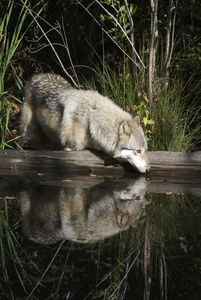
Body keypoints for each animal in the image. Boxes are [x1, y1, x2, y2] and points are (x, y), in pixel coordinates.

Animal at [20, 72, 151, 173]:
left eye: (145, 150)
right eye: (138, 151)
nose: (149, 169)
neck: (91, 121)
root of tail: (37, 75)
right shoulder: (70, 148)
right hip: (28, 131)